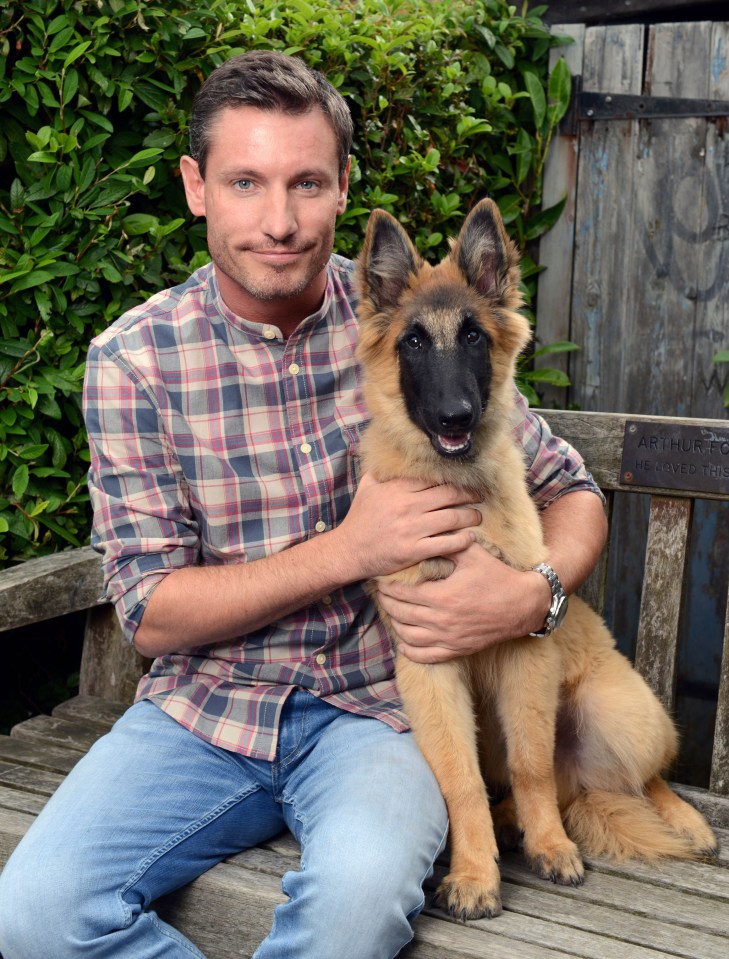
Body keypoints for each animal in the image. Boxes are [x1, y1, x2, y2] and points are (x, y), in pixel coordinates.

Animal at [354, 201, 716, 924]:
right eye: (413, 343)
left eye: (472, 336)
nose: (456, 416)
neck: (459, 494)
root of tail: (584, 785)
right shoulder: (429, 668)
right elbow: (460, 780)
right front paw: (475, 871)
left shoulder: (522, 651)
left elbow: (530, 765)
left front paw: (551, 845)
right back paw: (506, 824)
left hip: (614, 711)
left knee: (641, 776)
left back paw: (674, 818)